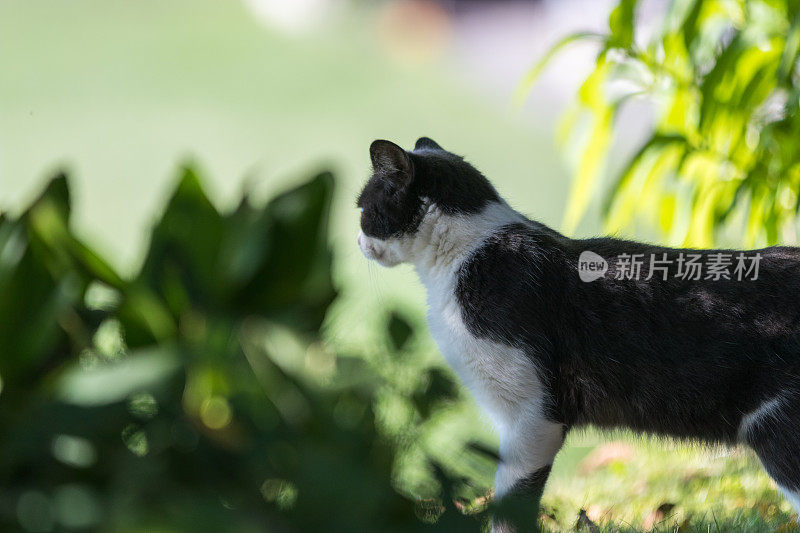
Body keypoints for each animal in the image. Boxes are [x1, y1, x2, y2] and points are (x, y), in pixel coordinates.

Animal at [356, 136, 800, 528]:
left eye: (362, 209)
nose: (358, 241)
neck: (468, 255)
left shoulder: (533, 417)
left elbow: (511, 503)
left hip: (777, 432)